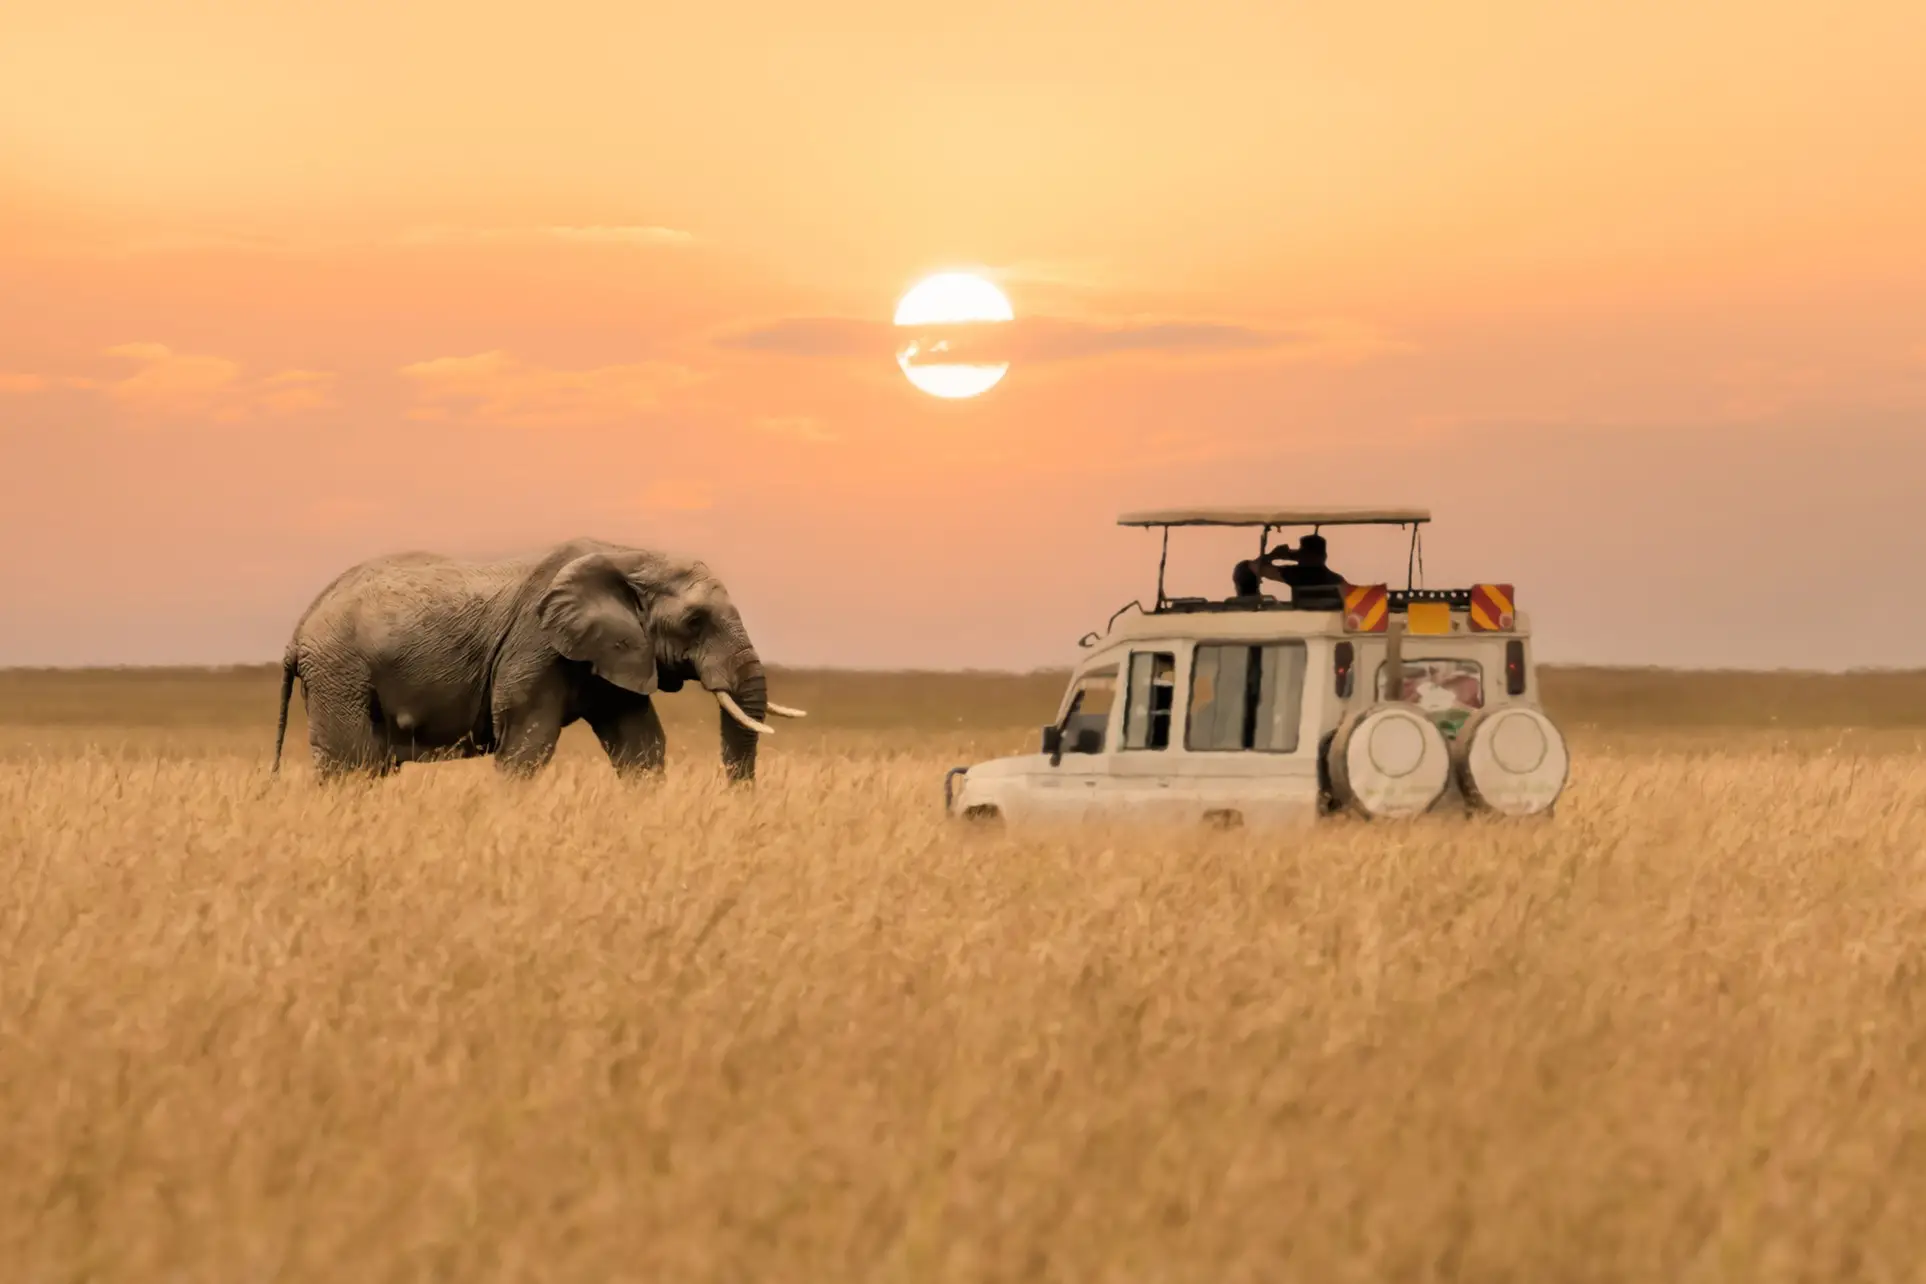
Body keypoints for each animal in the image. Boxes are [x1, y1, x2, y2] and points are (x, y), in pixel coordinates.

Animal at [270, 537, 806, 782]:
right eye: (695, 621)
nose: (739, 801)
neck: (629, 556)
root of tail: (298, 630)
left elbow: (641, 745)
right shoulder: (535, 649)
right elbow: (528, 744)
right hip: (340, 671)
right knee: (350, 765)